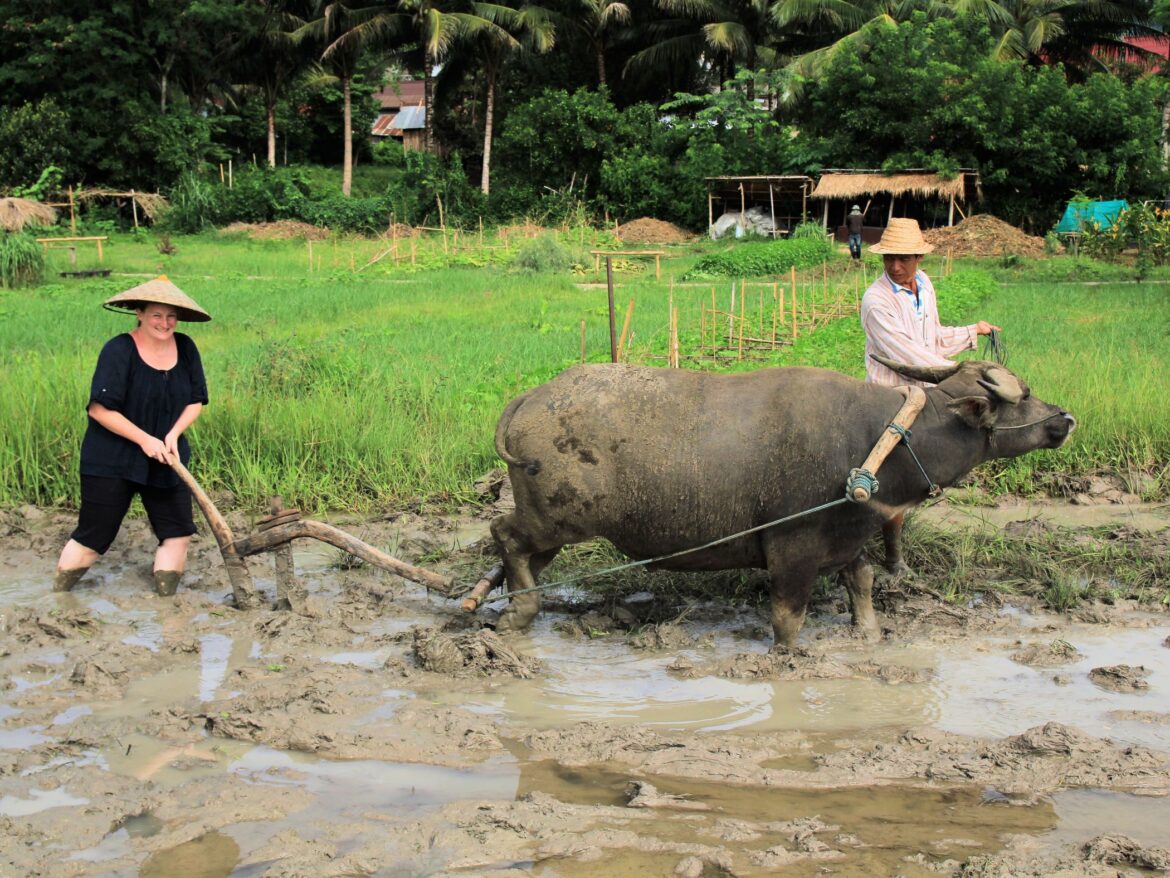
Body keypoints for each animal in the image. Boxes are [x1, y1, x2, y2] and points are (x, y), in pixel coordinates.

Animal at [489, 358, 1071, 646]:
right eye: (1024, 396)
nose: (1065, 419)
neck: (882, 440)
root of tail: (533, 398)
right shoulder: (795, 548)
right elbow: (788, 621)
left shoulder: (849, 536)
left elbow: (862, 582)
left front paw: (869, 633)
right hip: (558, 518)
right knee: (505, 535)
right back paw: (518, 613)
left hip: (555, 524)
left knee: (519, 552)